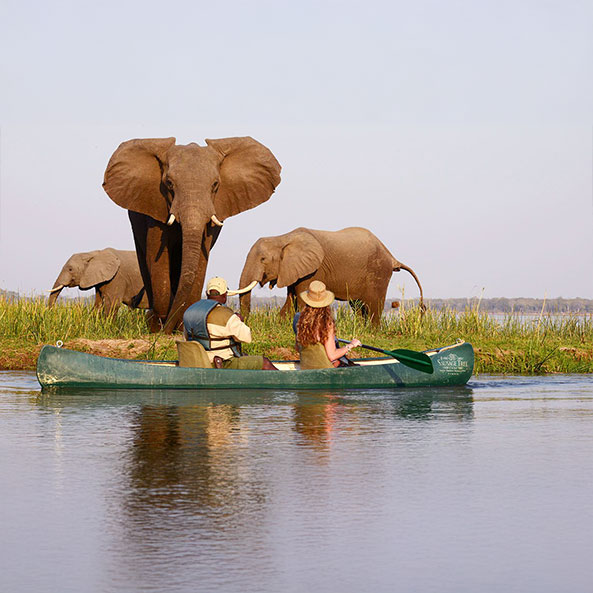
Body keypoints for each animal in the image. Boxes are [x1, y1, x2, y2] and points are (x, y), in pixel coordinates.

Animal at [103, 138, 280, 332]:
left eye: (215, 184)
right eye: (169, 183)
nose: (167, 329)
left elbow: (201, 258)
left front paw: (182, 325)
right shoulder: (156, 206)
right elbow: (158, 258)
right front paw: (159, 327)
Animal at [234, 225, 424, 326]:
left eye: (263, 259)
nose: (244, 321)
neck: (283, 238)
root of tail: (391, 257)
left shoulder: (313, 271)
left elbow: (301, 301)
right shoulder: (293, 271)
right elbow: (291, 300)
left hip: (378, 272)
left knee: (373, 305)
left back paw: (372, 331)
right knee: (358, 306)